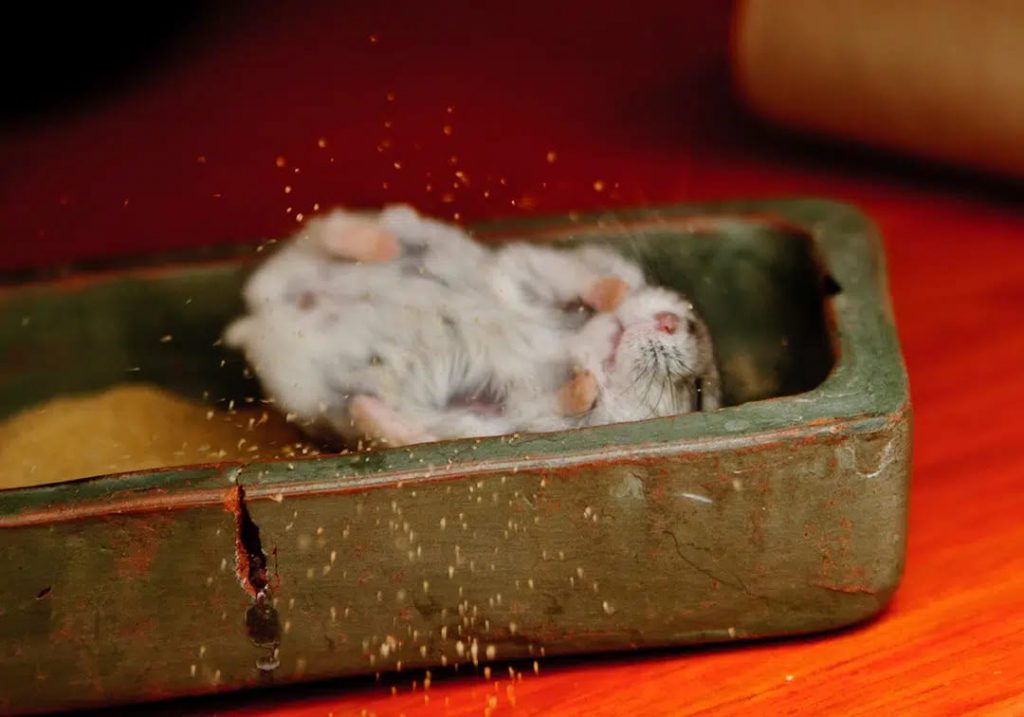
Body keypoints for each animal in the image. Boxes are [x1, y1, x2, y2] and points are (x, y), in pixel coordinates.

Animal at [225, 205, 720, 447]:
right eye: (688, 308)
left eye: (698, 395)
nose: (671, 321)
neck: (579, 339)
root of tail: (256, 318)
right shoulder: (535, 265)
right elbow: (581, 281)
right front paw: (614, 294)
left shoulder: (511, 414)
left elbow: (564, 401)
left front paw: (586, 384)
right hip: (368, 236)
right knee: (334, 229)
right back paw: (377, 245)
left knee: (379, 424)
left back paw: (376, 412)